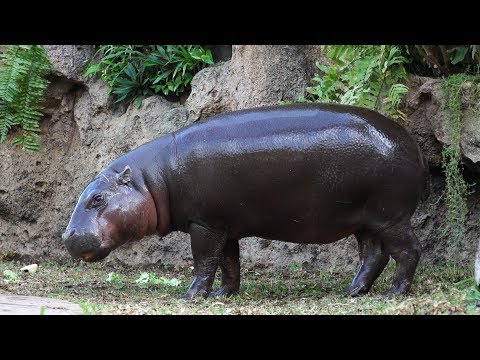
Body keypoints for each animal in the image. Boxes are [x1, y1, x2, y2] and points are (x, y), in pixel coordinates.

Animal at [62, 102, 430, 296]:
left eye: (97, 198)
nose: (67, 236)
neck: (151, 180)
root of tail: (411, 144)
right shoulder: (224, 226)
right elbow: (228, 262)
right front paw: (223, 295)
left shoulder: (204, 224)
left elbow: (204, 260)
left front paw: (192, 295)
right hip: (366, 220)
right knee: (374, 255)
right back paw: (353, 291)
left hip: (390, 215)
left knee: (408, 250)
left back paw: (394, 293)